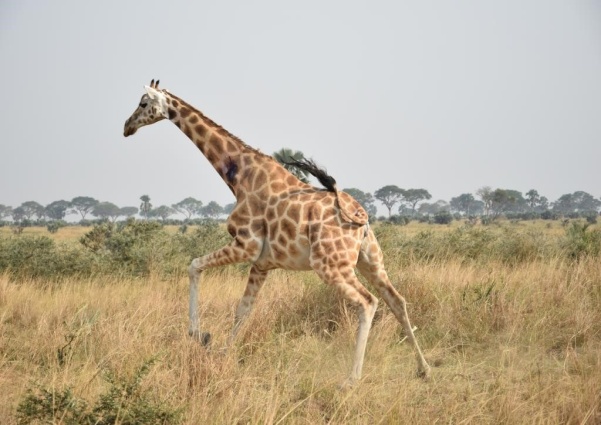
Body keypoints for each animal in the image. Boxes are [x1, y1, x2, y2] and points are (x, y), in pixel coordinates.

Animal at [123, 78, 432, 380]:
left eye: (143, 103)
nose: (127, 127)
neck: (240, 175)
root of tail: (360, 217)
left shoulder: (245, 245)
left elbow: (194, 265)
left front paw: (200, 335)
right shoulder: (262, 263)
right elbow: (243, 309)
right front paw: (222, 353)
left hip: (330, 265)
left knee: (367, 303)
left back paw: (351, 379)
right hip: (370, 260)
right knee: (396, 300)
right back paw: (423, 369)